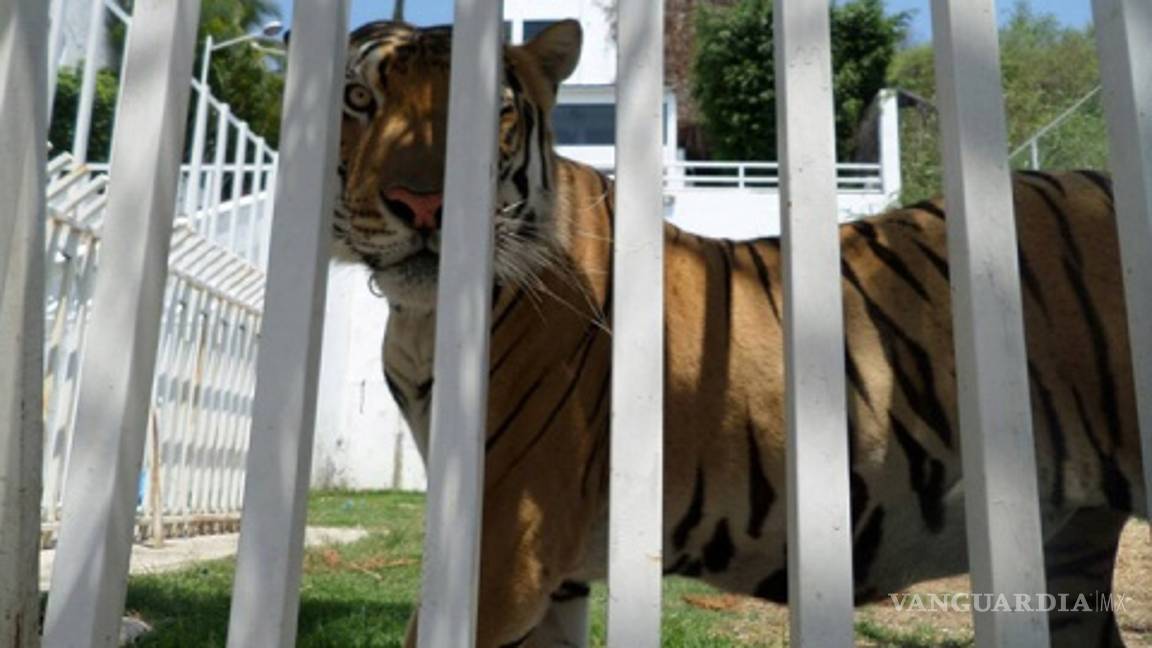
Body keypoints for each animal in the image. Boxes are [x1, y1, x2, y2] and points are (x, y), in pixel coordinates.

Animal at [333, 18, 1148, 648]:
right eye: (359, 100)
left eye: (490, 116)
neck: (417, 321)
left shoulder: (506, 545)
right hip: (1068, 551)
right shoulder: (549, 578)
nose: (422, 205)